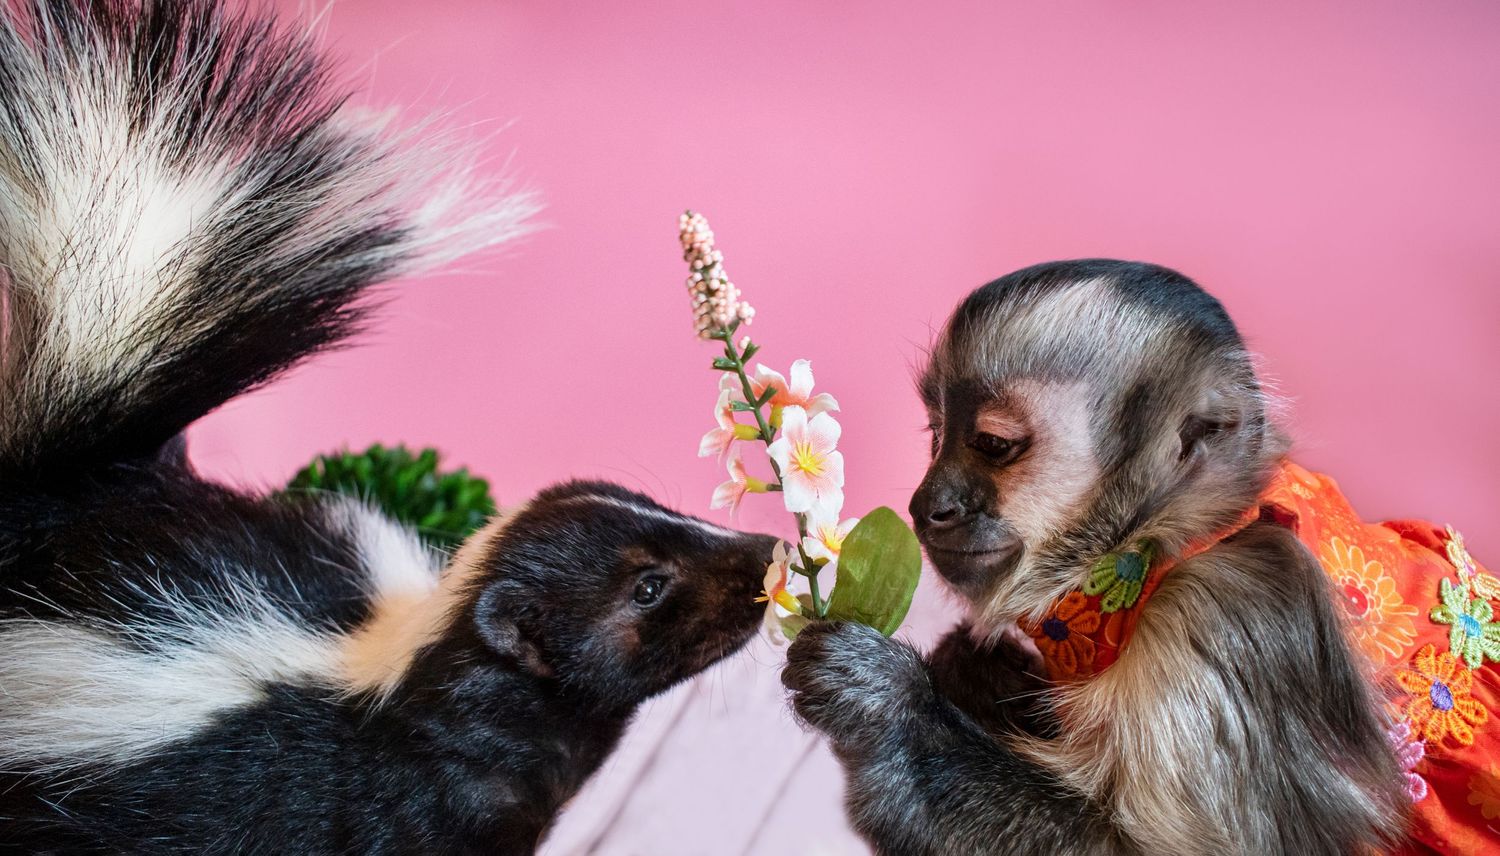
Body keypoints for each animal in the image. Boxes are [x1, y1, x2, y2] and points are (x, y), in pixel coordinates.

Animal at [782, 259, 1491, 854]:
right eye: (936, 437)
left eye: (991, 443)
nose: (928, 503)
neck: (1165, 543)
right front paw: (986, 672)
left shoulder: (1230, 611)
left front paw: (886, 705)